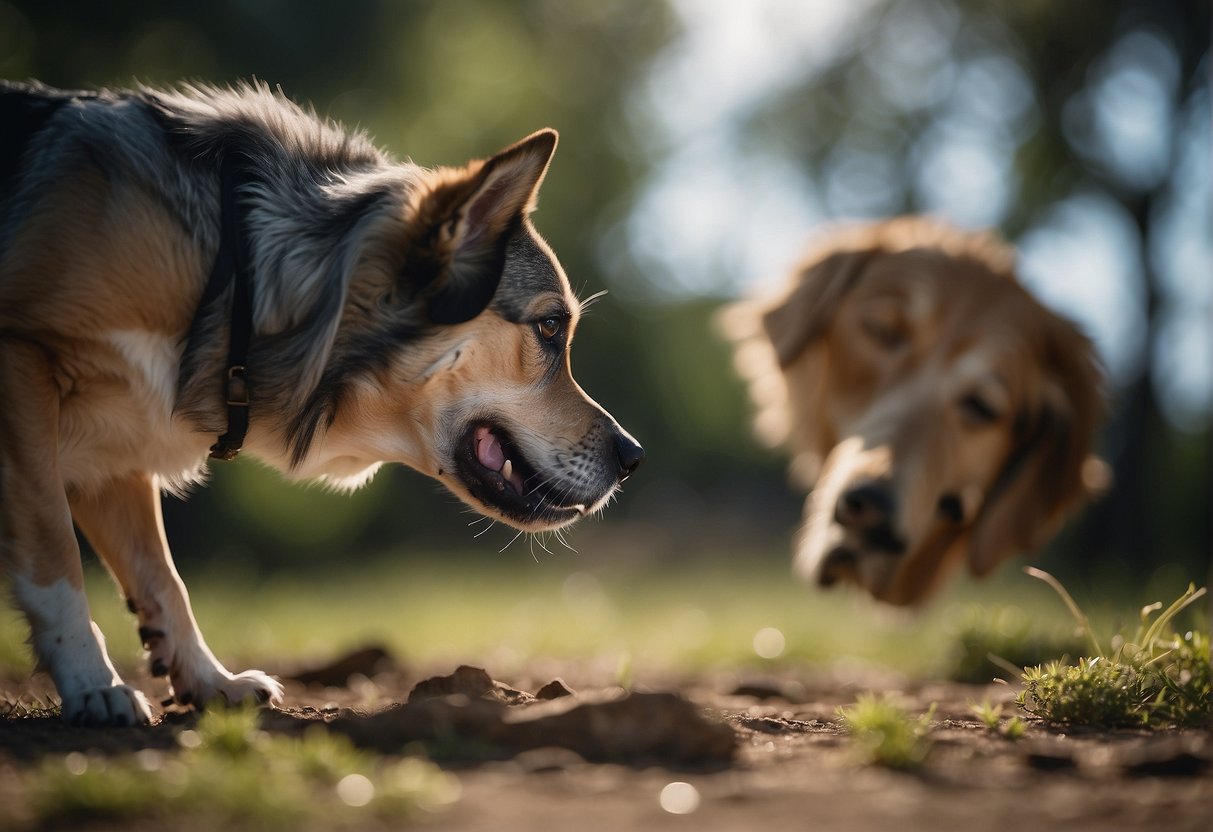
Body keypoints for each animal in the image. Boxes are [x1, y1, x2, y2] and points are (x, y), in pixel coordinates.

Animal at [0, 81, 645, 727]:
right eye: (550, 326)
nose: (634, 457)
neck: (235, 278)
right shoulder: (23, 366)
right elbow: (56, 555)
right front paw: (92, 682)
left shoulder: (117, 450)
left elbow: (162, 578)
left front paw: (211, 682)